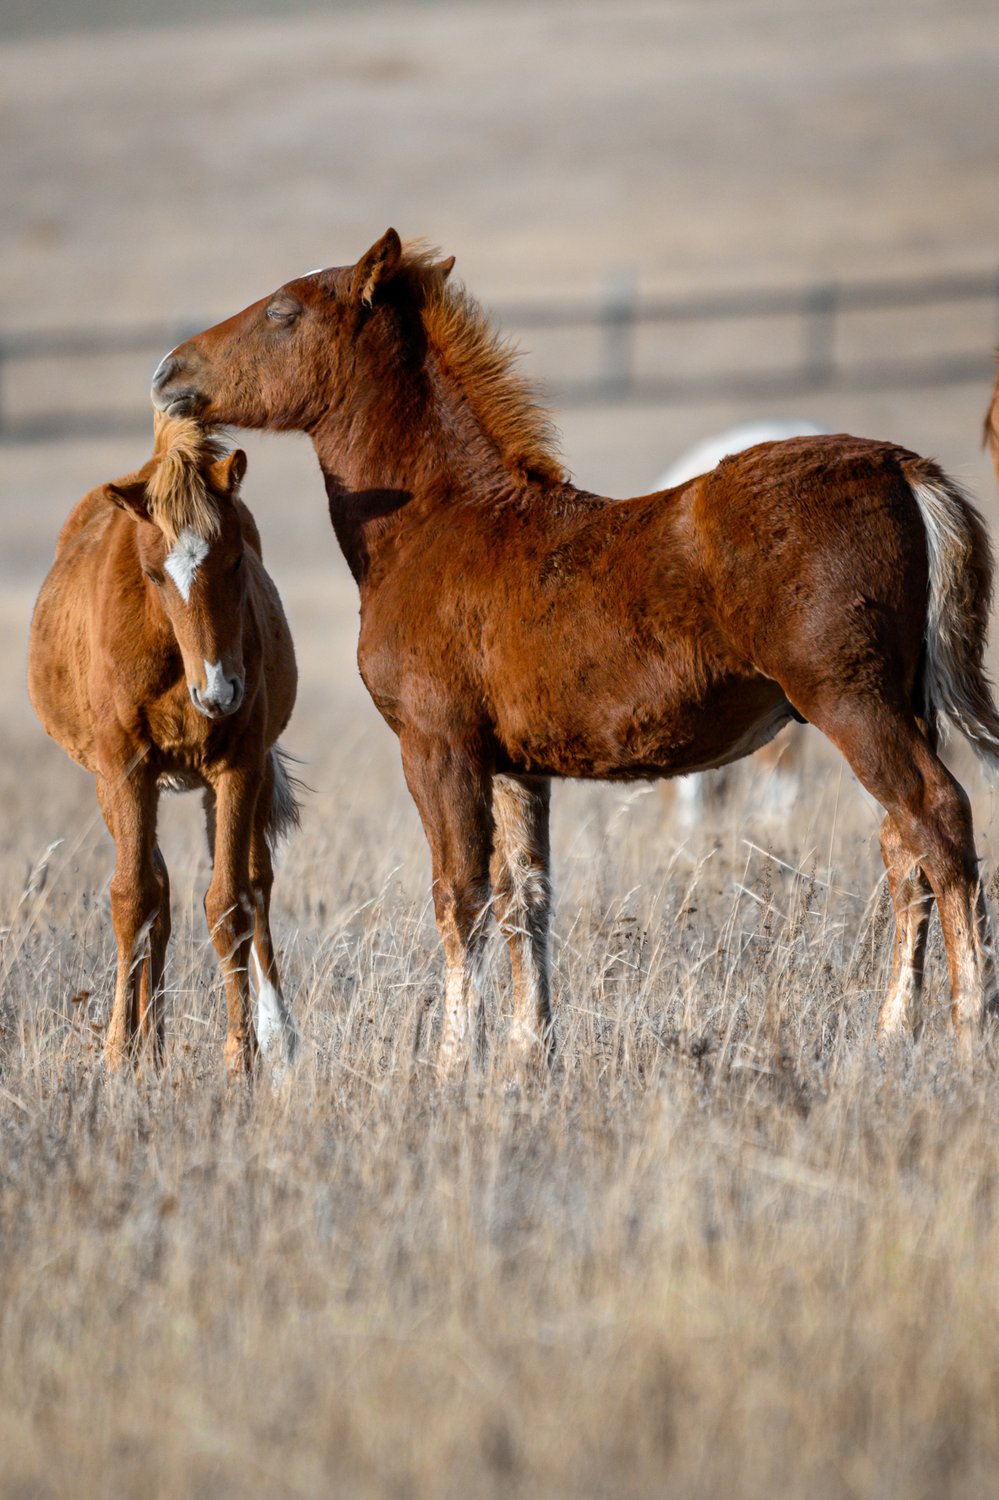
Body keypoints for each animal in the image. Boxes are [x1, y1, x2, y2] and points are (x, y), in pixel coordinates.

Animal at [28, 417, 300, 1074]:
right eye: (153, 574)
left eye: (236, 560)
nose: (219, 691)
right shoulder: (126, 771)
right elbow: (133, 900)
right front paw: (117, 1055)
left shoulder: (237, 768)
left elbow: (230, 903)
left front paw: (243, 1056)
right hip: (120, 787)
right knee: (157, 893)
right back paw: (147, 1044)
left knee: (254, 881)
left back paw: (277, 1037)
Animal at [151, 228, 996, 1062]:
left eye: (283, 311)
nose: (169, 372)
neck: (441, 523)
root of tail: (897, 466)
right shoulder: (513, 765)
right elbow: (524, 895)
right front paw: (530, 1051)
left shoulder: (435, 744)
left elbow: (458, 895)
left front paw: (457, 1060)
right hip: (902, 704)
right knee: (902, 850)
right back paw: (892, 1030)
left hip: (850, 701)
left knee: (937, 819)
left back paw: (966, 1028)